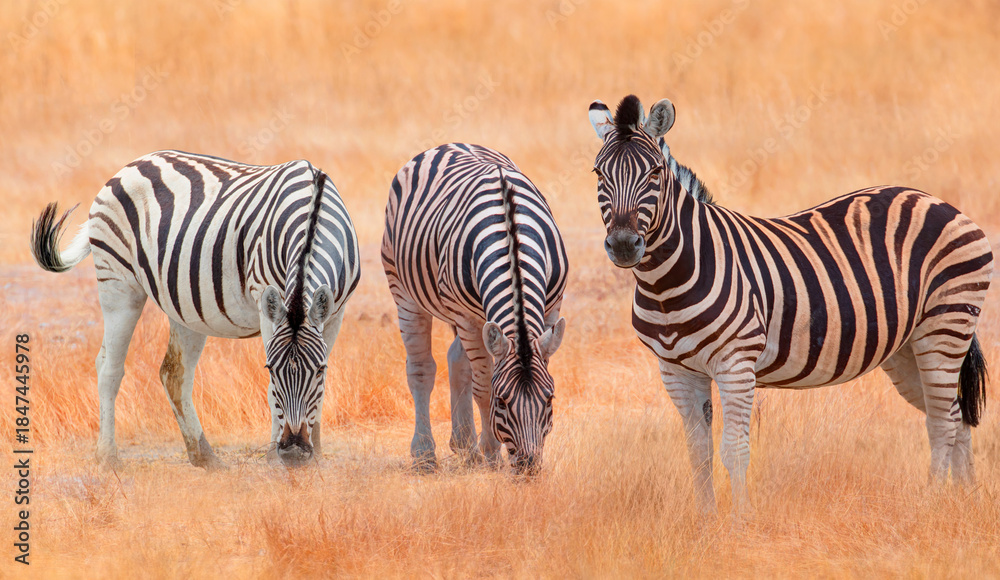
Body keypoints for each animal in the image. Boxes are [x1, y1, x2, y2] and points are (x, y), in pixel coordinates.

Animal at [30, 150, 361, 468]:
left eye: (319, 369)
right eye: (270, 369)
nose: (292, 451)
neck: (312, 213)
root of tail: (133, 164)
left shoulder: (336, 312)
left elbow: (321, 388)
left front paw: (316, 455)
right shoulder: (266, 302)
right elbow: (271, 392)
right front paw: (273, 460)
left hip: (185, 304)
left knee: (173, 374)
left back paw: (205, 457)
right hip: (118, 283)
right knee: (109, 367)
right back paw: (108, 458)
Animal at [381, 143, 568, 474]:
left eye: (550, 399)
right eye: (503, 402)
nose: (528, 467)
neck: (511, 238)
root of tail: (449, 145)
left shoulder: (552, 307)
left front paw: (481, 449)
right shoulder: (467, 318)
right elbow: (483, 388)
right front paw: (491, 454)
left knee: (457, 358)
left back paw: (464, 444)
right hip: (404, 291)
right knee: (421, 369)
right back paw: (425, 453)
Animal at [587, 95, 993, 512]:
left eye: (654, 174)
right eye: (598, 174)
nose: (623, 245)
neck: (666, 285)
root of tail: (934, 200)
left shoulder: (736, 364)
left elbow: (734, 451)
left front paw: (741, 523)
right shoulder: (675, 371)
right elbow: (698, 453)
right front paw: (705, 523)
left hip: (945, 324)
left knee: (942, 421)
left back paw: (931, 502)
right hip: (906, 347)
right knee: (955, 412)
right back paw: (965, 501)